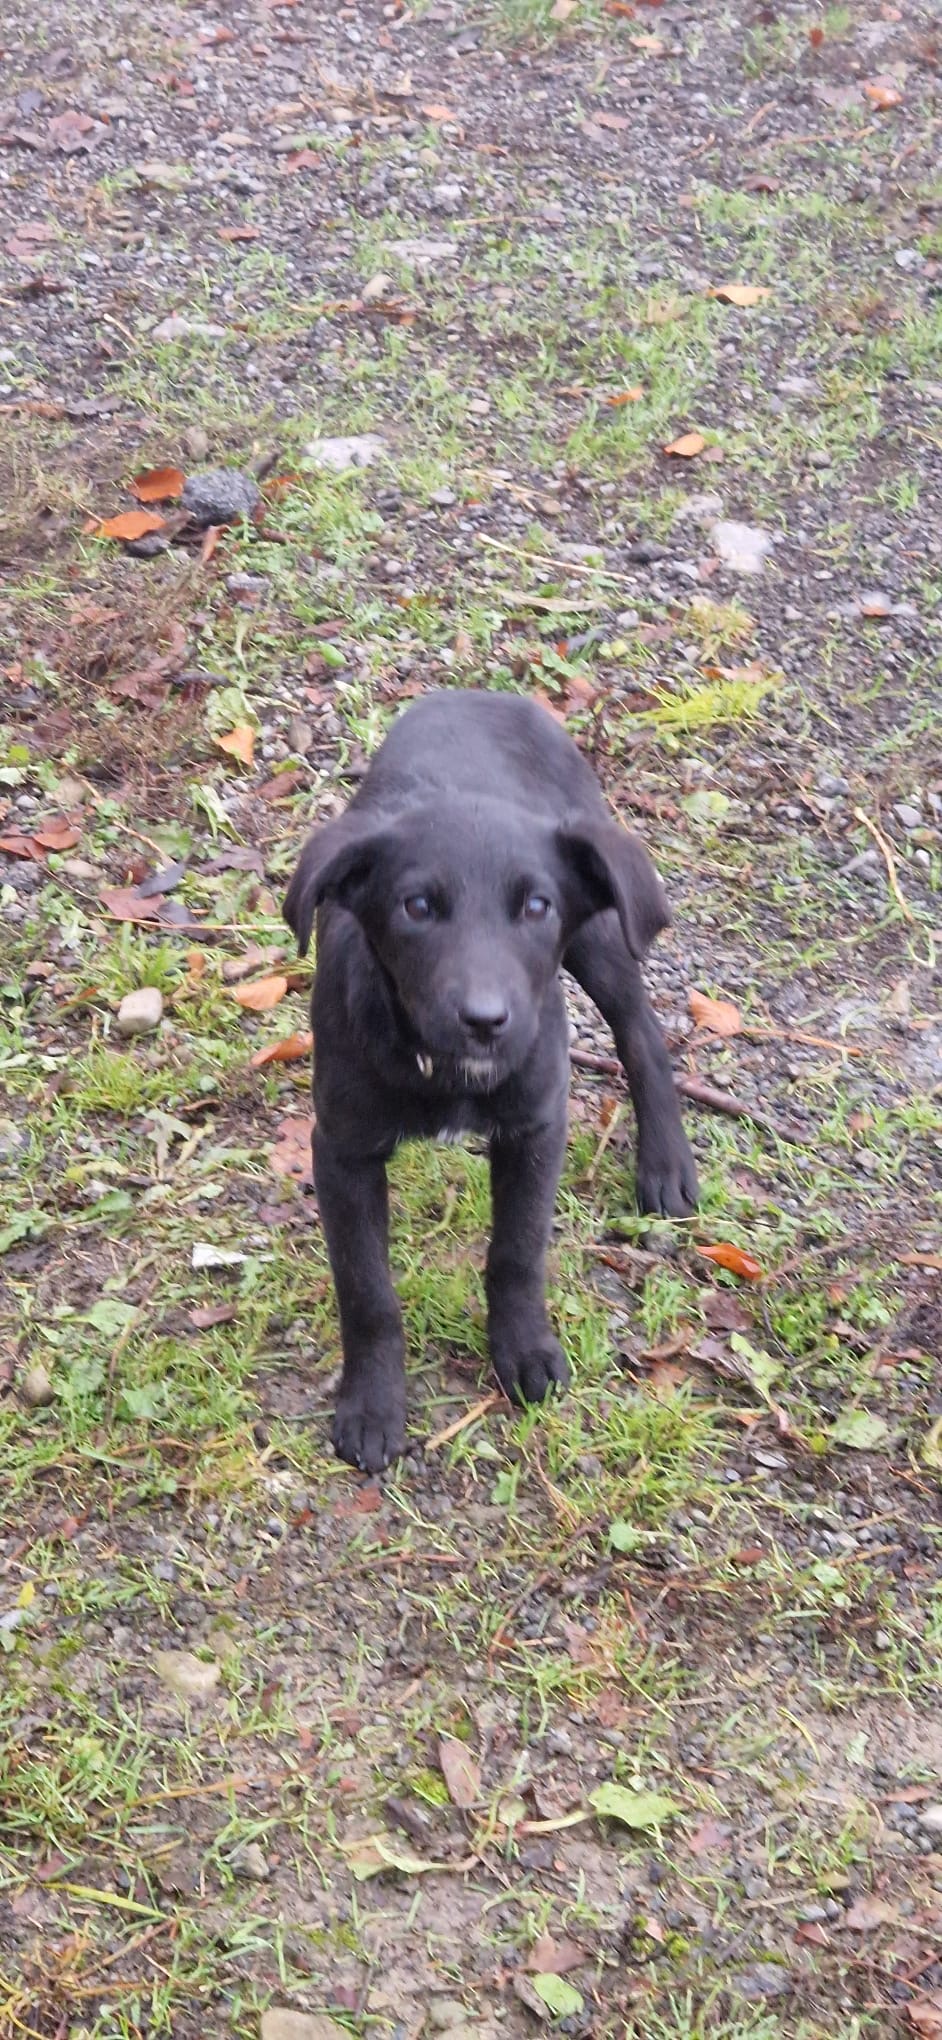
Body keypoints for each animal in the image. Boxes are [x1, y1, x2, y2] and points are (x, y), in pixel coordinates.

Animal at [284, 689, 697, 1473]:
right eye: (417, 907)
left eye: (536, 906)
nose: (484, 1020)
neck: (441, 1066)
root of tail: (481, 693)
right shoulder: (342, 1151)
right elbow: (366, 1289)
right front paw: (373, 1402)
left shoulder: (537, 1126)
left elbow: (517, 1251)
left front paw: (523, 1350)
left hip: (601, 936)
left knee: (641, 1033)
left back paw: (666, 1167)